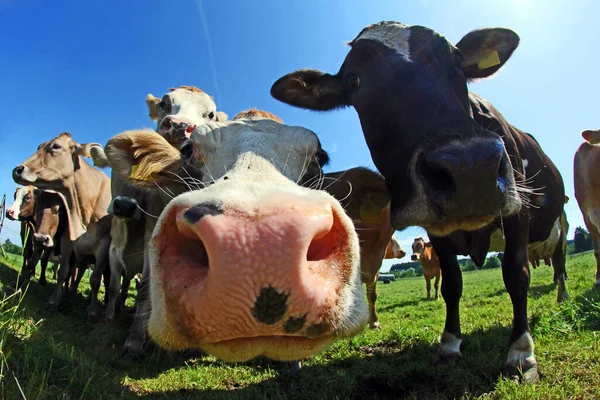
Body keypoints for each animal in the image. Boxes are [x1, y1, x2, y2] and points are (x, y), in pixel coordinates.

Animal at [11, 133, 112, 310]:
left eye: (56, 146)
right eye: (38, 146)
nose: (17, 170)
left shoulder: (104, 246)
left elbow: (95, 280)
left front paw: (93, 311)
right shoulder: (67, 240)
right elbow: (63, 272)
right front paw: (54, 301)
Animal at [270, 21, 564, 382]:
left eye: (456, 60)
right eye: (354, 80)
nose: (471, 168)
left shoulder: (518, 212)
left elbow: (516, 274)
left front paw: (521, 353)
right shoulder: (436, 229)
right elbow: (452, 284)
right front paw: (449, 345)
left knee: (560, 263)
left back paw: (563, 295)